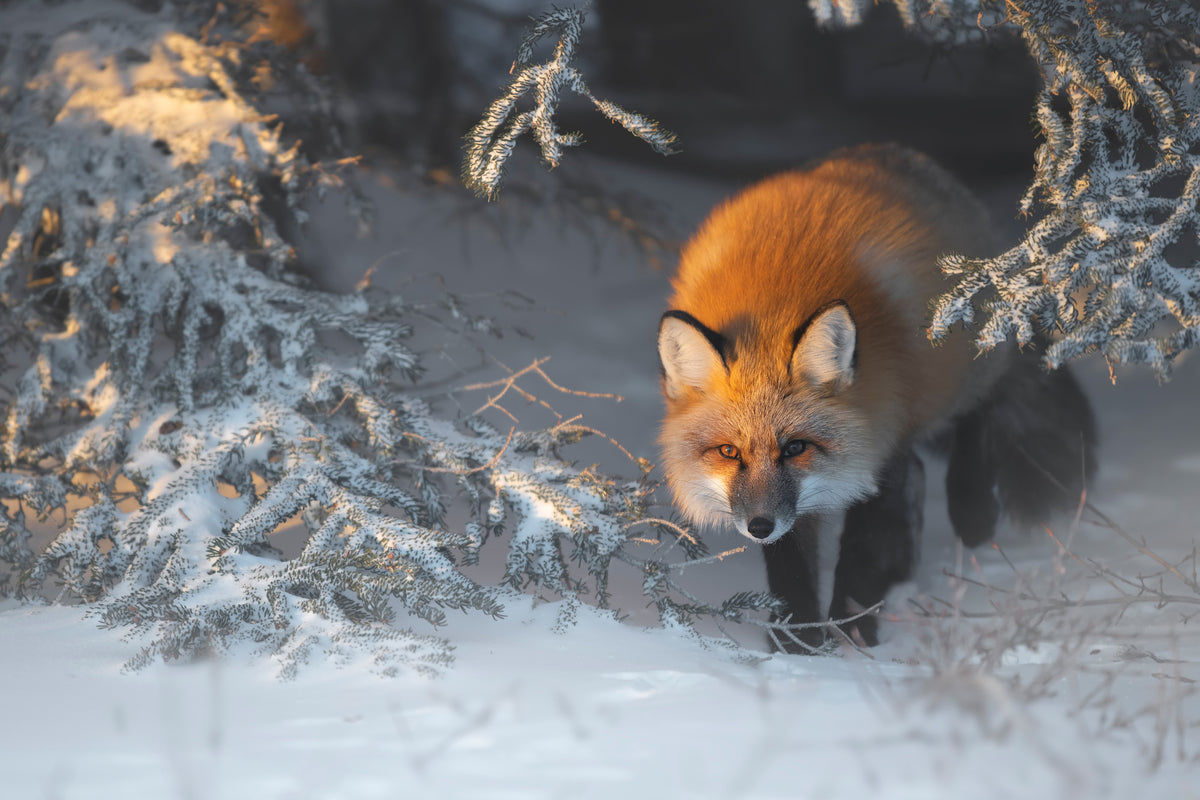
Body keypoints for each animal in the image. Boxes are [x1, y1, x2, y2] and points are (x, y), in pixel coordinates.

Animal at [656, 144, 1096, 650]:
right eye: (729, 452)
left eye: (795, 447)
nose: (758, 527)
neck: (773, 304)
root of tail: (894, 153)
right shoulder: (799, 504)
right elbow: (792, 571)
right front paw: (798, 645)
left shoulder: (881, 448)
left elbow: (863, 554)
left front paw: (852, 635)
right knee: (922, 474)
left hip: (959, 372)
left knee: (977, 416)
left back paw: (973, 510)